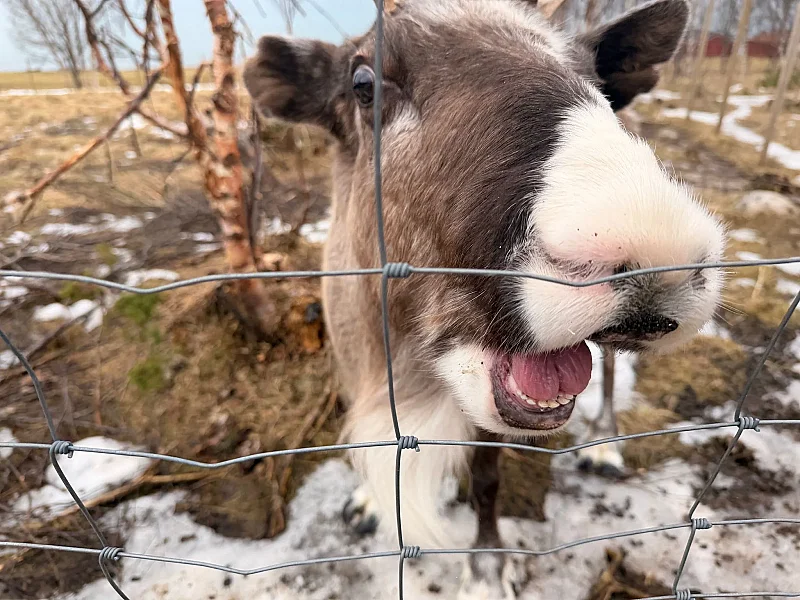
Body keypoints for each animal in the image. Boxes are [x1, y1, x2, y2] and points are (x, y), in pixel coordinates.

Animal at [243, 1, 726, 597]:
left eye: (595, 79)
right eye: (363, 82)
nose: (660, 249)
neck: (405, 369)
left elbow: (487, 479)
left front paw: (487, 567)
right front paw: (367, 502)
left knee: (612, 371)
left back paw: (605, 446)